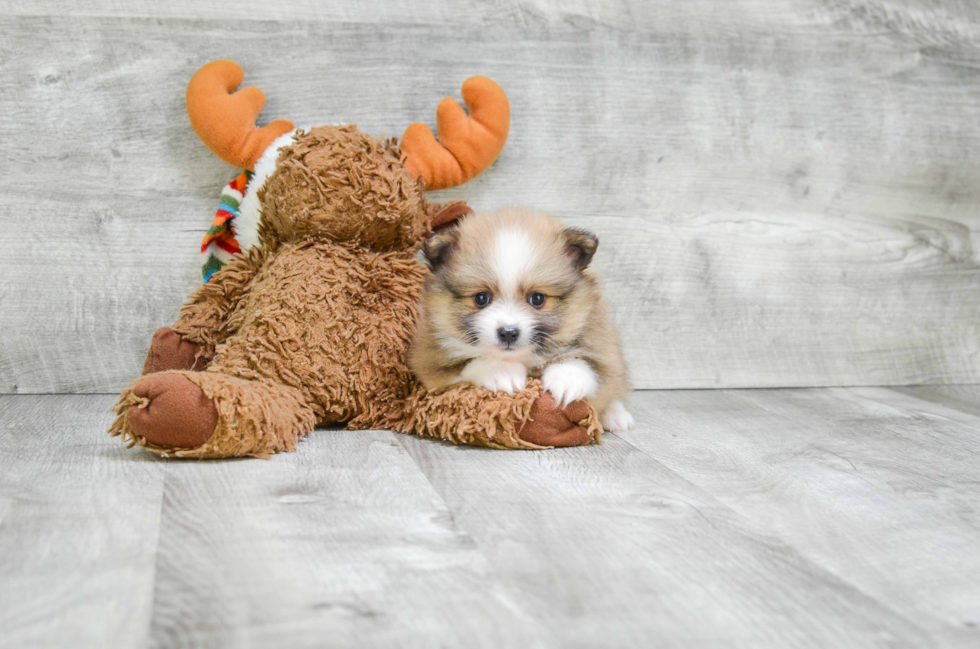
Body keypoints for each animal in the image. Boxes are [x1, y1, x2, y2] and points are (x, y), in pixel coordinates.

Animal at [408, 208, 632, 430]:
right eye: (481, 298)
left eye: (537, 299)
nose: (508, 333)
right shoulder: (428, 361)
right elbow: (466, 363)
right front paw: (501, 372)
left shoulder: (603, 347)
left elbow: (589, 365)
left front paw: (567, 379)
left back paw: (616, 416)